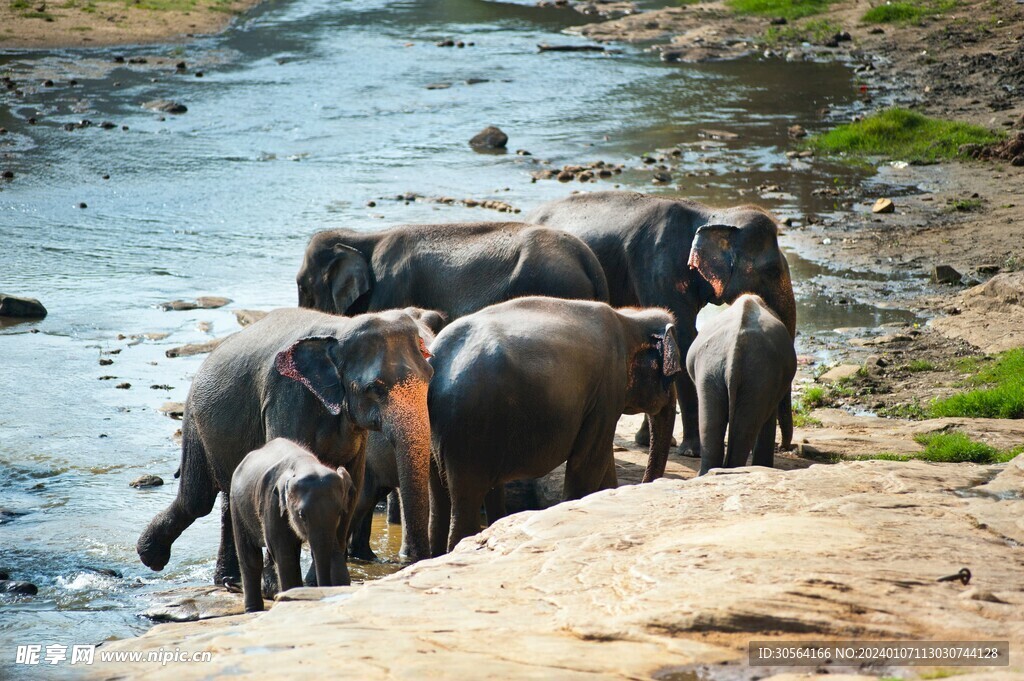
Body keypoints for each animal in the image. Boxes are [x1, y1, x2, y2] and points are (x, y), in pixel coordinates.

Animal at [136, 307, 436, 587]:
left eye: (430, 376)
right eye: (374, 388)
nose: (409, 560)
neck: (340, 328)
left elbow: (352, 483)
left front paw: (320, 583)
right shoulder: (287, 397)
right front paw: (280, 587)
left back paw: (229, 580)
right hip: (195, 422)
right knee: (196, 500)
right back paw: (151, 557)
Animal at [230, 438, 355, 612]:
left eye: (340, 513)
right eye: (302, 515)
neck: (306, 463)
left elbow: (334, 551)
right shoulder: (272, 503)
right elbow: (285, 555)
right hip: (237, 504)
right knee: (250, 559)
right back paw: (253, 610)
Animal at [428, 296, 682, 554]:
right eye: (674, 376)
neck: (629, 319)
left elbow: (601, 461)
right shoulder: (607, 390)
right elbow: (588, 463)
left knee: (440, 501)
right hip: (470, 432)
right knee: (467, 499)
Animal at [686, 294, 796, 475]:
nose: (784, 447)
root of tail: (734, 350)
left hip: (714, 371)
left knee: (713, 426)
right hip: (756, 376)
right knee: (745, 430)